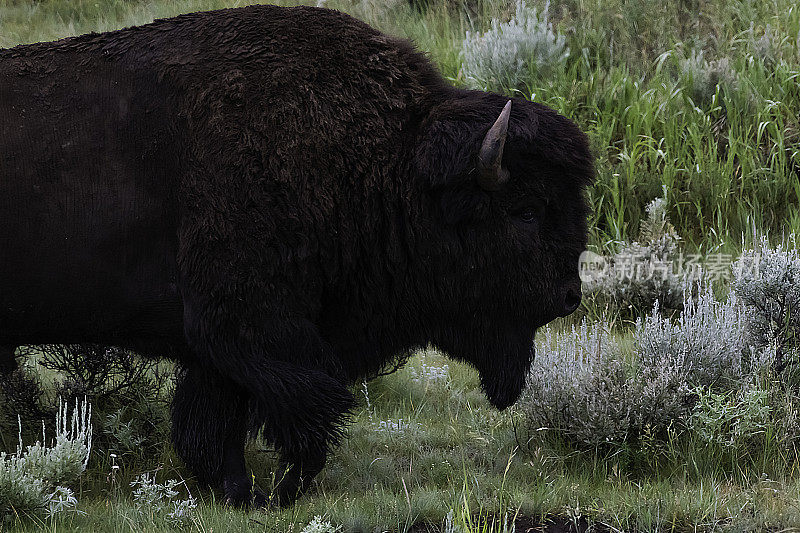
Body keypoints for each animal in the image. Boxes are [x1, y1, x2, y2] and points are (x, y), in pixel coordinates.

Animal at [0, 5, 588, 508]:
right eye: (527, 211)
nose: (568, 295)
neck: (387, 165)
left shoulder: (220, 351)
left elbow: (217, 419)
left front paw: (239, 491)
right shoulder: (255, 332)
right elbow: (303, 407)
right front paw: (272, 492)